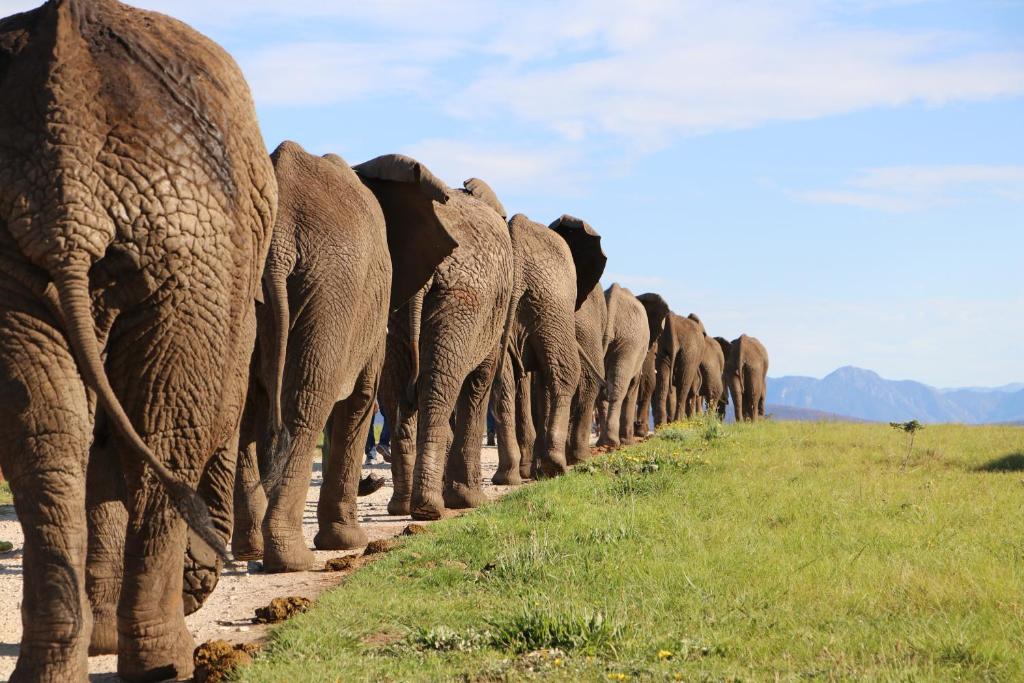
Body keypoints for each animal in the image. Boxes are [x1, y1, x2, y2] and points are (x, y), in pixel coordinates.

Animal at [0, 2, 276, 679]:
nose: (205, 578)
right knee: (168, 423)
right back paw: (168, 662)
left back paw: (56, 667)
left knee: (47, 431)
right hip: (191, 245)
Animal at [232, 145, 456, 577]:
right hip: (331, 295)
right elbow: (359, 401)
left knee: (244, 417)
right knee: (305, 407)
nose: (373, 482)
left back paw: (250, 552)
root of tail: (278, 240)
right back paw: (291, 560)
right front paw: (346, 542)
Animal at [366, 160, 512, 520]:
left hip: (398, 303)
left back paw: (403, 506)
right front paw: (469, 502)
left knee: (397, 391)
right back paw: (430, 508)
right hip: (463, 300)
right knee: (440, 386)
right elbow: (479, 384)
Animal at [489, 210, 606, 483]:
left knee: (505, 382)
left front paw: (533, 471)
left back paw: (507, 477)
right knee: (566, 372)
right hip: (550, 301)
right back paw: (556, 466)